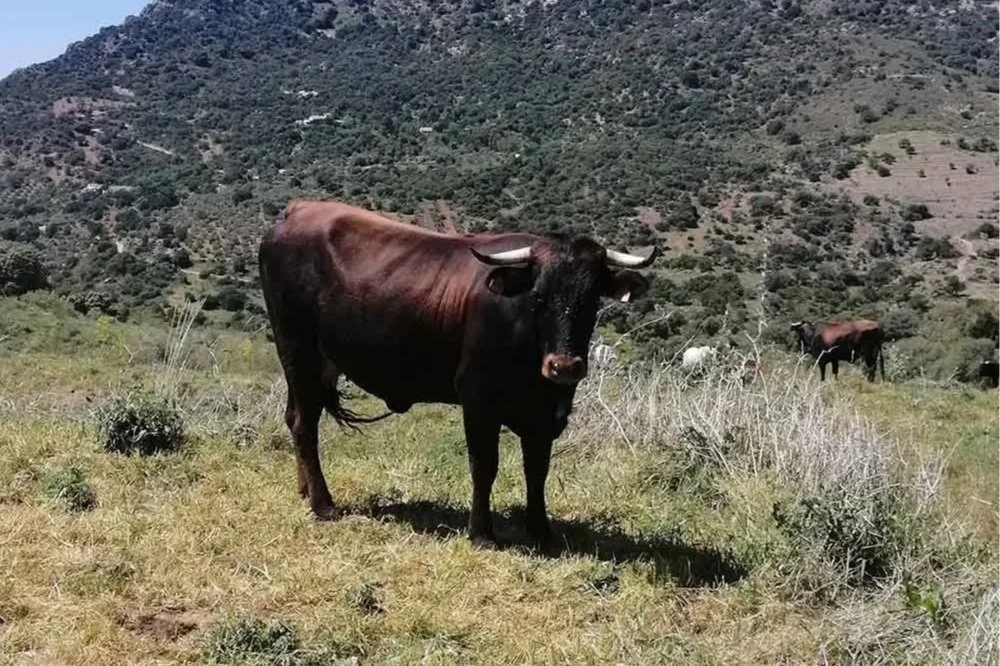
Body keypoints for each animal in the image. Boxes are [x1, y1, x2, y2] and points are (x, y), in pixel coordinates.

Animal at [258, 199, 658, 548]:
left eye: (592, 300)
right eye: (538, 296)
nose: (564, 366)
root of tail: (298, 210)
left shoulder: (544, 415)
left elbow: (537, 471)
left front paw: (541, 532)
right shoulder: (478, 400)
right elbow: (484, 466)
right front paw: (481, 533)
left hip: (315, 365)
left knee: (296, 417)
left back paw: (305, 490)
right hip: (297, 350)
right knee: (305, 426)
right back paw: (323, 504)